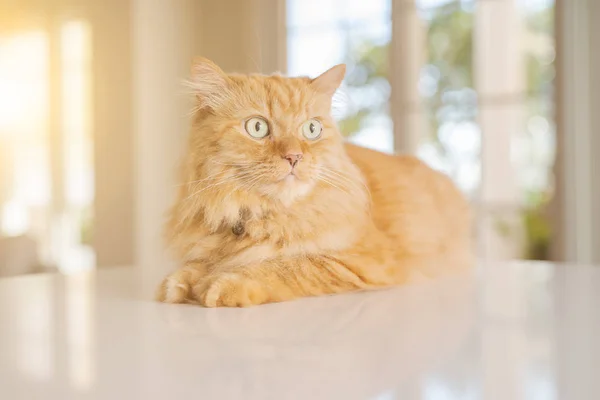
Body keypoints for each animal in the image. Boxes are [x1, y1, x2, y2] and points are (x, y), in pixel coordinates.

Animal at [156, 57, 474, 306]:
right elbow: (195, 266)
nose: (294, 156)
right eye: (257, 127)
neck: (262, 215)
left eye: (311, 129)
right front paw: (179, 283)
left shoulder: (359, 262)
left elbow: (286, 265)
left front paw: (222, 283)